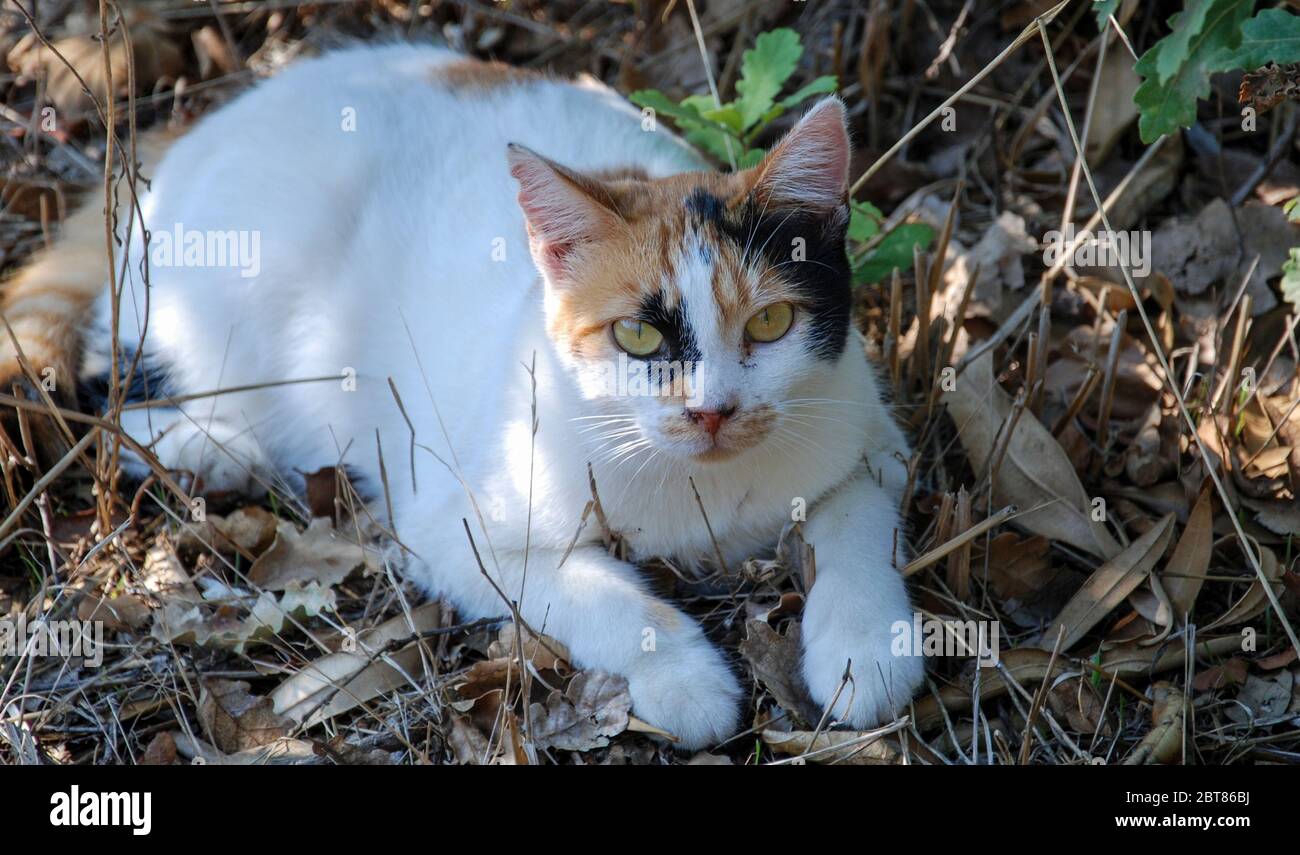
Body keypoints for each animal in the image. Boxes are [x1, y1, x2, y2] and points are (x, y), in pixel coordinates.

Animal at [7, 44, 925, 748]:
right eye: (637, 336)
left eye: (770, 322)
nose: (712, 410)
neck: (706, 493)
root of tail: (213, 120)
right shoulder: (457, 530)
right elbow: (600, 593)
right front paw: (686, 680)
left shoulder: (874, 442)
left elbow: (857, 523)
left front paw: (865, 648)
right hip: (225, 303)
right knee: (115, 394)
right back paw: (216, 447)